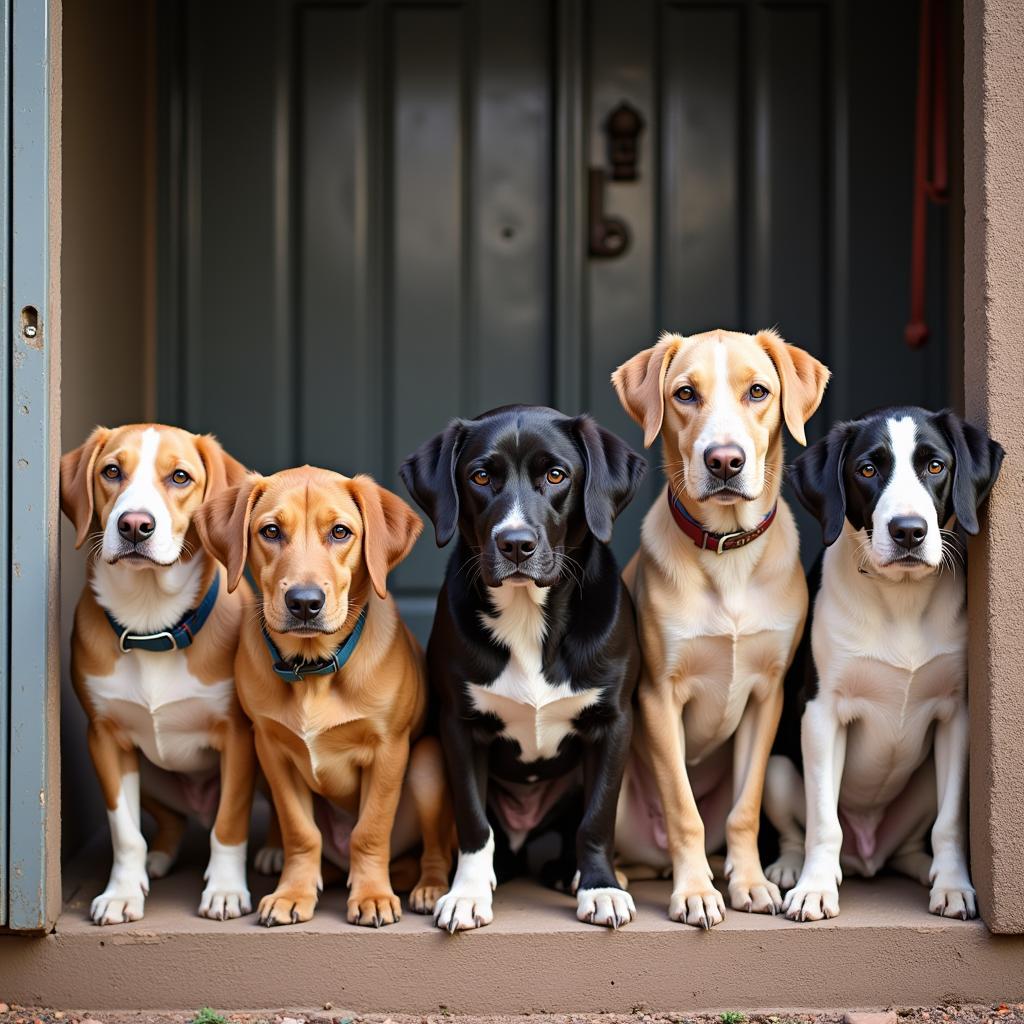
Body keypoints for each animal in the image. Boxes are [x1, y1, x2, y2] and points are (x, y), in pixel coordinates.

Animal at [61, 419, 256, 925]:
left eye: (180, 477)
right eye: (112, 471)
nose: (134, 525)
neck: (151, 622)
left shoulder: (239, 737)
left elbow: (229, 824)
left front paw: (225, 890)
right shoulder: (105, 739)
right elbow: (125, 831)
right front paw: (122, 892)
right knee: (170, 821)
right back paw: (159, 858)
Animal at [195, 466, 452, 929]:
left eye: (340, 532)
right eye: (271, 531)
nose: (304, 602)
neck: (312, 670)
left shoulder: (390, 749)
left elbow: (370, 830)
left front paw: (372, 895)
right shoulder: (271, 748)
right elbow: (301, 831)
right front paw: (292, 892)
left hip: (426, 766)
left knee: (433, 850)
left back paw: (430, 887)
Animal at [397, 403, 638, 933]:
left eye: (556, 475)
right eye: (481, 476)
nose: (515, 544)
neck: (528, 614)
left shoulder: (613, 723)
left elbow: (597, 818)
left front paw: (601, 888)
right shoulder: (459, 726)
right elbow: (472, 820)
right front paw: (466, 893)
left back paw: (566, 871)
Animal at [610, 327, 827, 929]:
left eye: (758, 391)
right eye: (685, 394)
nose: (725, 460)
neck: (727, 552)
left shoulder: (768, 696)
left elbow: (742, 811)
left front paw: (749, 882)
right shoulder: (659, 697)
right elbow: (684, 810)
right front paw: (695, 893)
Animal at [770, 405, 999, 921]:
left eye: (935, 465)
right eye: (867, 470)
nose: (909, 531)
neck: (900, 599)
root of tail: (866, 857)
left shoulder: (957, 715)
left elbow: (950, 822)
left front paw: (953, 885)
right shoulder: (820, 714)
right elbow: (823, 820)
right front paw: (815, 889)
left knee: (912, 843)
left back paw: (922, 868)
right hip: (778, 769)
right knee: (799, 830)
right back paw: (790, 869)